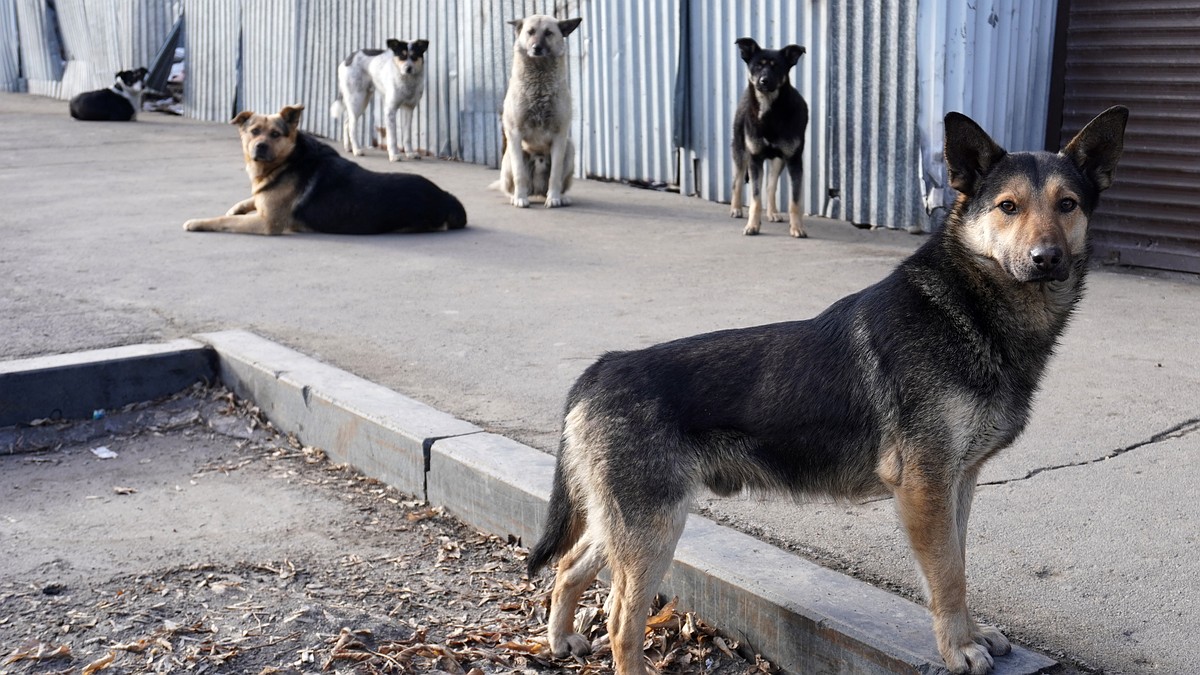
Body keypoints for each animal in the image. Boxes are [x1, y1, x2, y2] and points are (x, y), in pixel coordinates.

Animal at [496, 14, 580, 206]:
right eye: (530, 32)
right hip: (509, 159)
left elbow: (555, 174)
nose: (536, 48)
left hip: (570, 148)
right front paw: (520, 199)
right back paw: (516, 195)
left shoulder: (559, 135)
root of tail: (537, 191)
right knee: (511, 185)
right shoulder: (515, 133)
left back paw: (561, 196)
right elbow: (520, 174)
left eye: (548, 33)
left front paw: (554, 198)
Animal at [530, 106, 1128, 672]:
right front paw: (959, 648)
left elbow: (959, 564)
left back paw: (559, 639)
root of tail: (601, 368)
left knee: (569, 564)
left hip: (628, 525)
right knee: (620, 622)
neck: (967, 308)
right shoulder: (926, 487)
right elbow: (948, 575)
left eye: (1068, 204)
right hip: (654, 530)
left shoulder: (958, 483)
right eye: (1008, 207)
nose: (1047, 258)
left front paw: (972, 633)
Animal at [724, 37, 811, 236]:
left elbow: (795, 201)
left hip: (779, 160)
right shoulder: (755, 158)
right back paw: (736, 208)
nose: (764, 81)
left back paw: (772, 212)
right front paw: (752, 226)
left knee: (771, 186)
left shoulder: (794, 160)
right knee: (737, 180)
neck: (770, 111)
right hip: (740, 150)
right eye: (757, 65)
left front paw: (797, 227)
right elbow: (755, 199)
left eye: (777, 66)